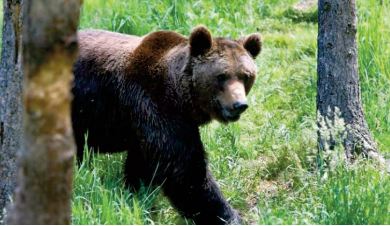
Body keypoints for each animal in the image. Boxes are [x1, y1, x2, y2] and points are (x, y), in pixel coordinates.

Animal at [72, 25, 262, 224]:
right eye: (222, 76)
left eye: (246, 76)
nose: (239, 104)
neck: (181, 98)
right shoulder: (155, 105)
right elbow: (186, 171)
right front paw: (227, 215)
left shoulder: (147, 125)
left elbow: (143, 165)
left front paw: (136, 193)